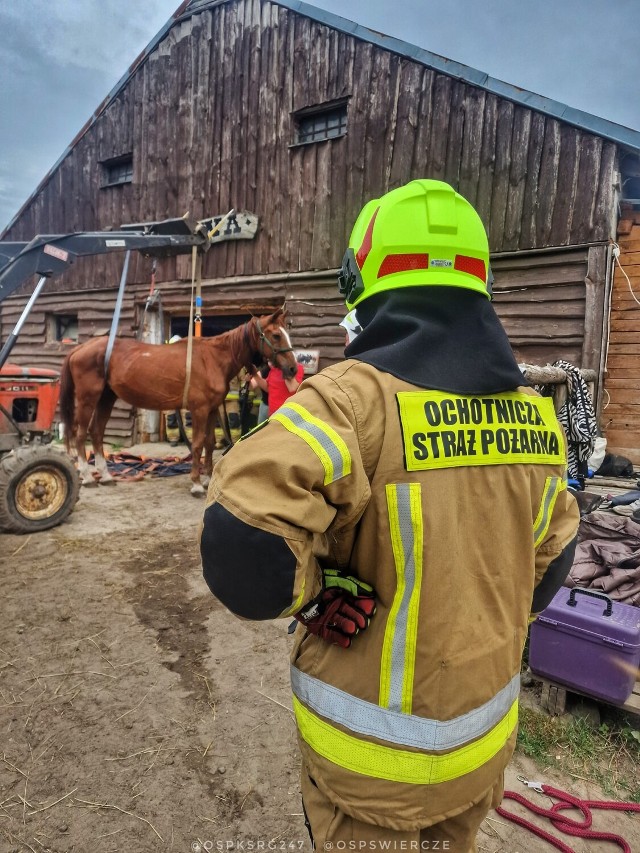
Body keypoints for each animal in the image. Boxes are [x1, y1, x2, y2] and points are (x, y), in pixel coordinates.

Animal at [58, 308, 298, 492]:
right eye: (276, 335)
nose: (293, 369)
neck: (212, 359)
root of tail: (80, 348)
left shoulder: (212, 409)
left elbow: (210, 443)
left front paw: (207, 478)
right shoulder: (199, 409)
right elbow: (198, 443)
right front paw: (196, 483)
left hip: (106, 398)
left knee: (97, 433)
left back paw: (106, 476)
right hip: (88, 398)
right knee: (81, 435)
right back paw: (88, 476)